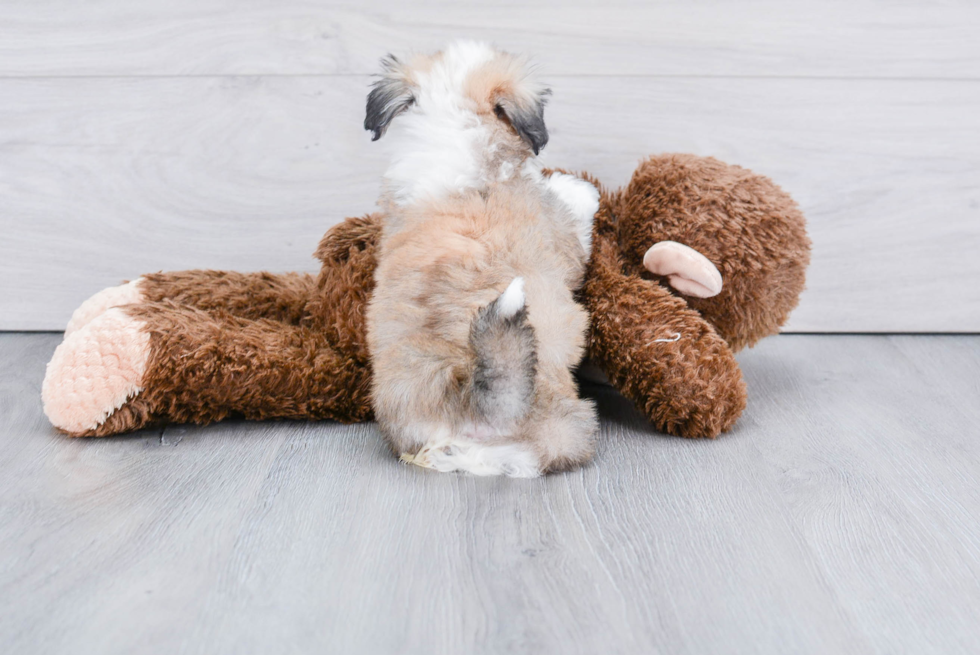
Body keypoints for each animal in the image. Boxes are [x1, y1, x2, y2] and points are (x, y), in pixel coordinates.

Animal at [364, 42, 600, 482]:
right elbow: (574, 216)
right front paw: (579, 189)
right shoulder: (562, 235)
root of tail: (469, 401)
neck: (452, 131)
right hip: (565, 428)